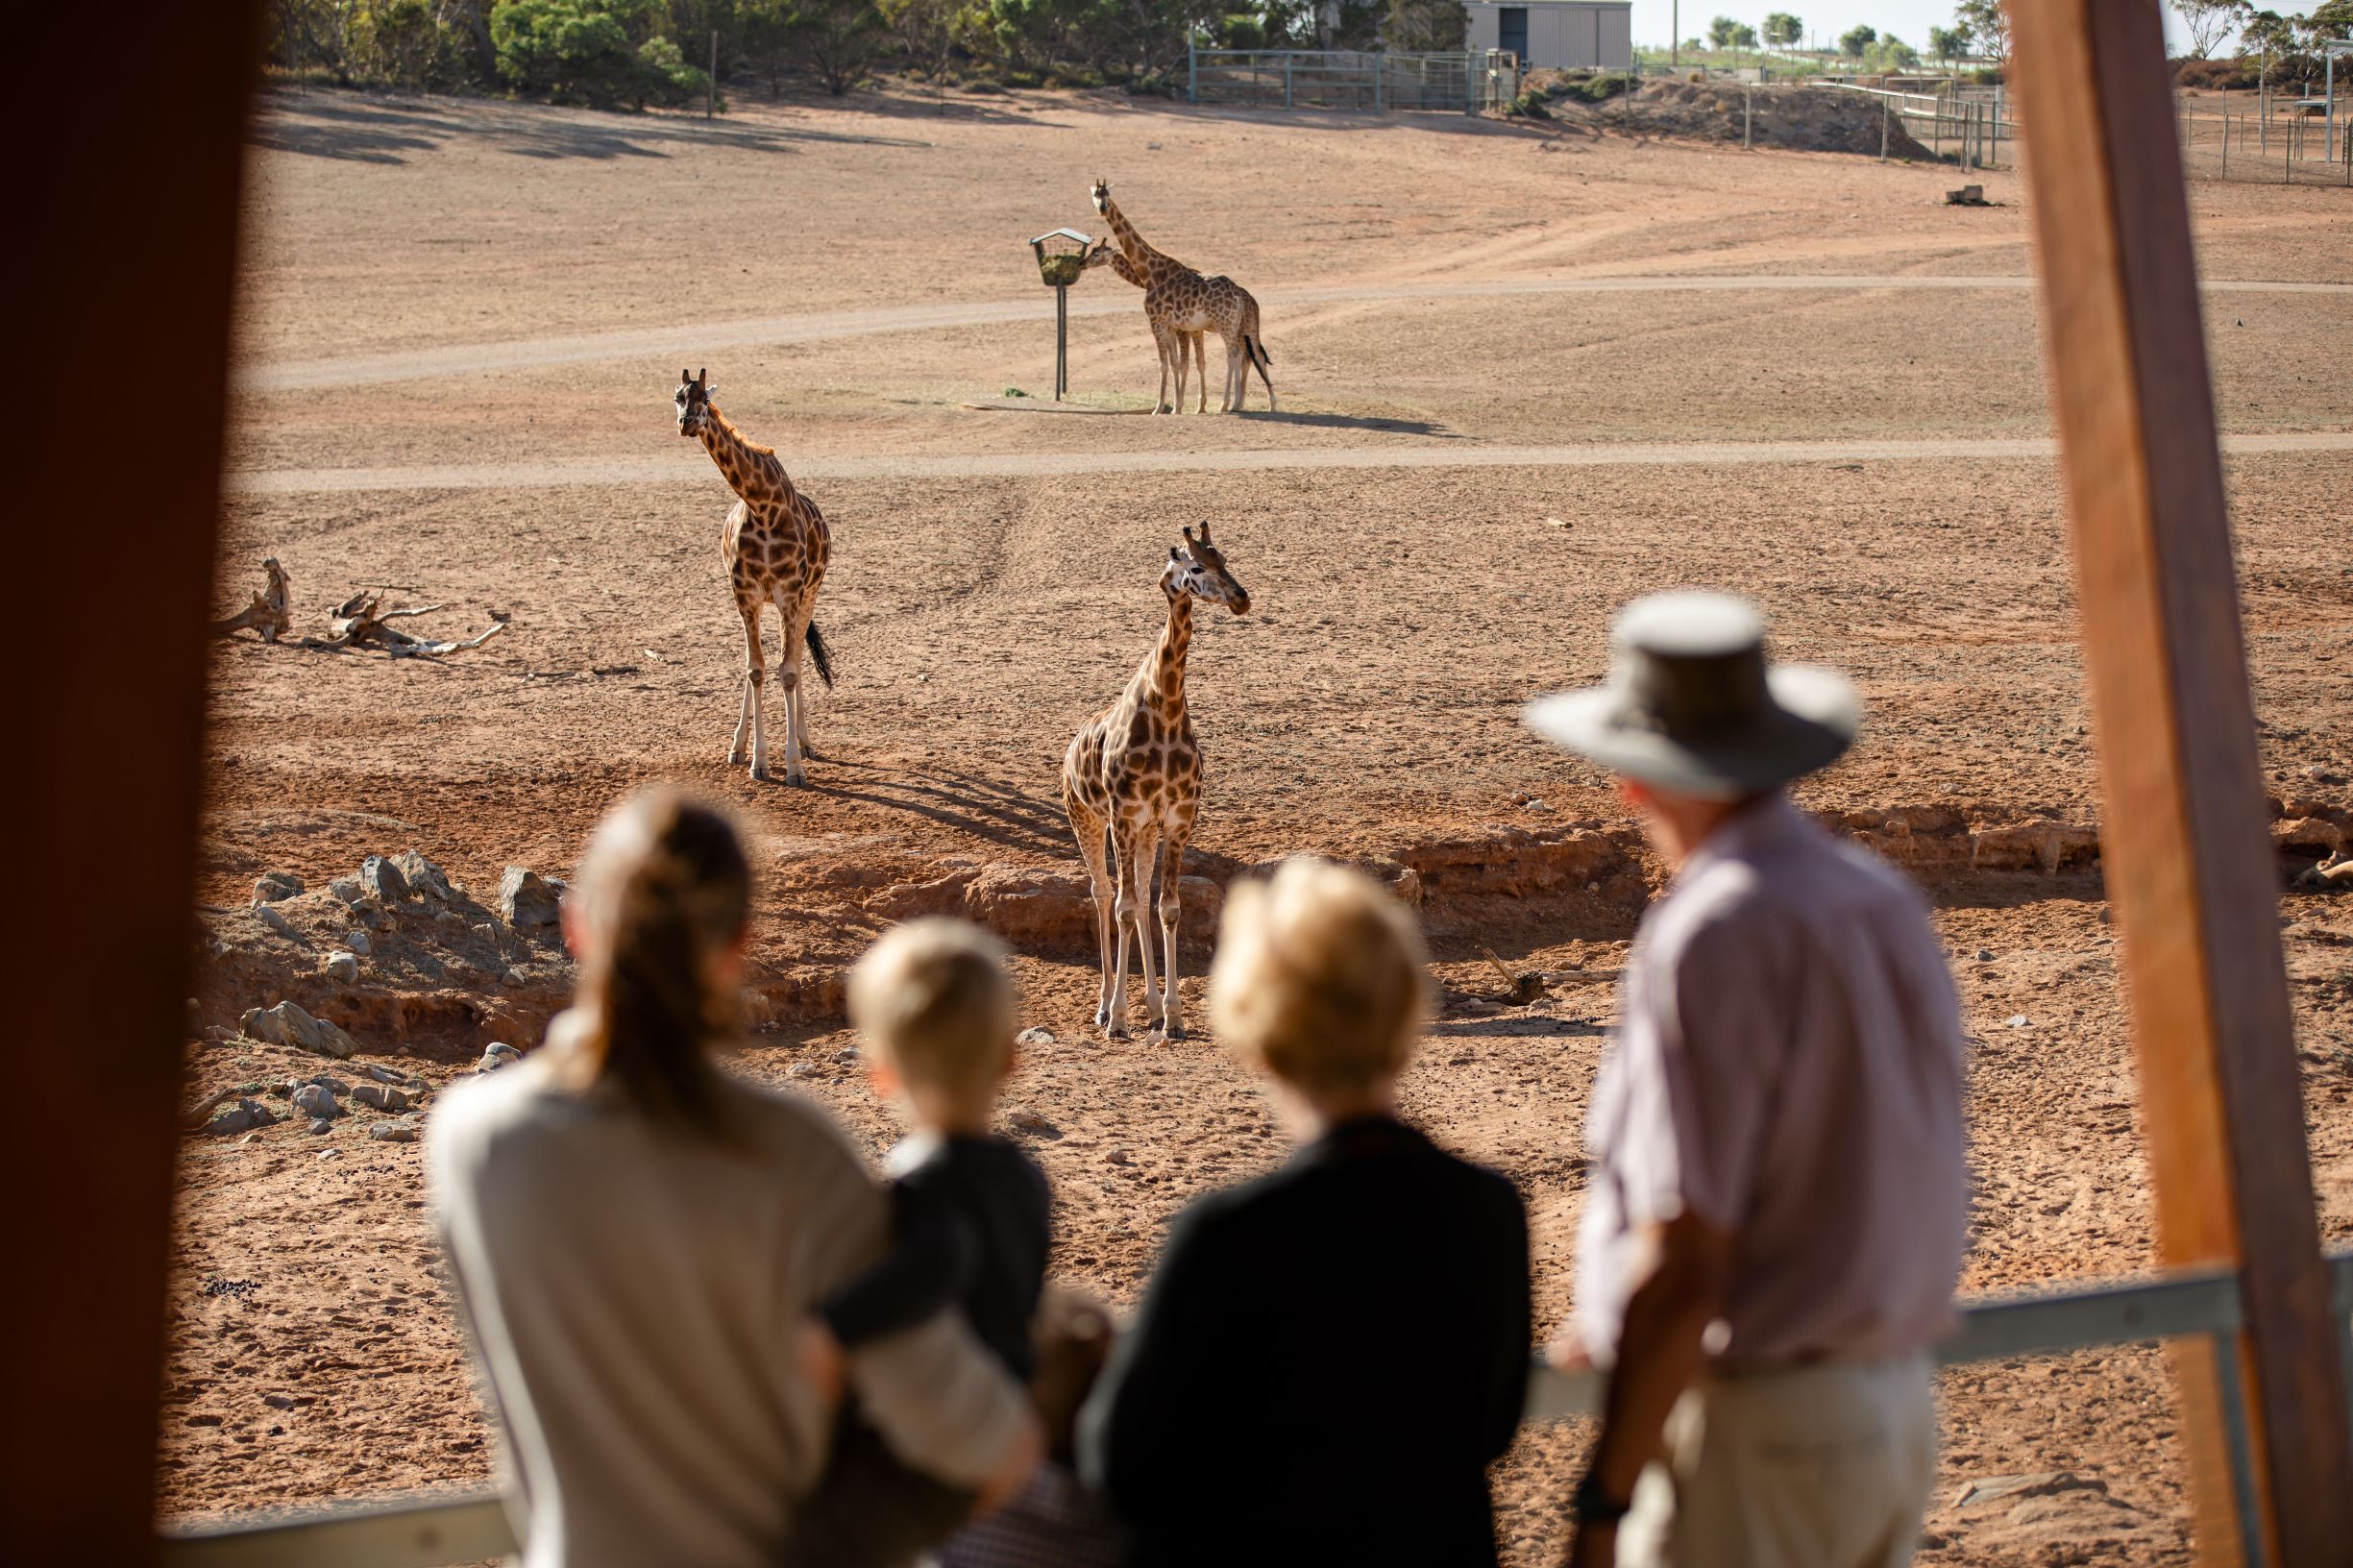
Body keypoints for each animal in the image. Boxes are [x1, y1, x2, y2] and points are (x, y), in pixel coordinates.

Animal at [673, 364, 837, 781]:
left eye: (705, 399)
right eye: (678, 397)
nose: (687, 424)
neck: (763, 504)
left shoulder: (790, 593)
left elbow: (788, 671)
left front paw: (794, 765)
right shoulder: (745, 594)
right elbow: (756, 670)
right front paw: (757, 761)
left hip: (810, 592)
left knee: (795, 659)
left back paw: (806, 743)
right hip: (758, 602)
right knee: (757, 663)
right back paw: (737, 746)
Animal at [1063, 525, 1251, 1036]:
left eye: (1226, 559)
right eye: (1196, 566)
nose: (1242, 599)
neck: (1165, 709)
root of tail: (1068, 752)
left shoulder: (1179, 817)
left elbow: (1167, 908)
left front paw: (1172, 1017)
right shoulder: (1124, 816)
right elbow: (1124, 908)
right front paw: (1118, 1019)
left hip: (1145, 831)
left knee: (1140, 896)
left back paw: (1148, 1007)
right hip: (1087, 819)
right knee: (1103, 894)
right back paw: (1105, 1007)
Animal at [1077, 180, 1270, 414]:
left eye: (1106, 196)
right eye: (1094, 196)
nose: (1102, 209)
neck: (1150, 274)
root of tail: (1240, 298)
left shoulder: (1160, 323)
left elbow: (1166, 364)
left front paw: (1162, 408)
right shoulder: (1179, 327)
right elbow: (1183, 362)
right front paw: (1184, 406)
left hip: (1230, 326)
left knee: (1238, 355)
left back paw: (1231, 404)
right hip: (1236, 328)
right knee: (1245, 356)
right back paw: (1238, 403)